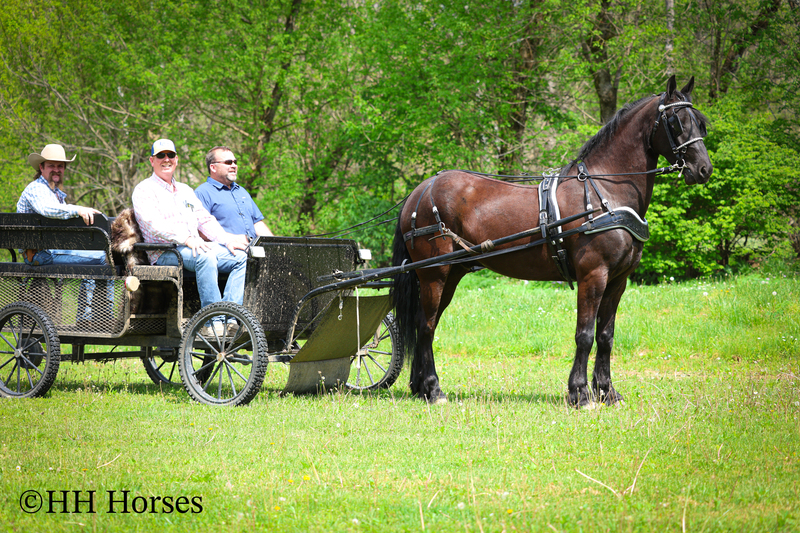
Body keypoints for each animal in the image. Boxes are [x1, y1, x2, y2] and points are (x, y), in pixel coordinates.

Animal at [391, 75, 712, 407]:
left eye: (701, 123)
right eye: (676, 121)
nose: (704, 169)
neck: (605, 192)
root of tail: (420, 190)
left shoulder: (617, 280)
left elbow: (605, 337)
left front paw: (607, 391)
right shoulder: (593, 275)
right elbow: (584, 335)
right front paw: (580, 393)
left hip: (450, 274)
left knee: (424, 323)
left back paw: (420, 386)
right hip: (434, 274)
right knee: (425, 326)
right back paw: (433, 389)